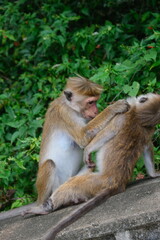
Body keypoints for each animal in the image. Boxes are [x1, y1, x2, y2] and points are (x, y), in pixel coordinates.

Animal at [39, 93, 160, 238]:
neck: (138, 115)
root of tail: (117, 183)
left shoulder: (121, 118)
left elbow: (106, 134)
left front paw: (87, 150)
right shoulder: (148, 129)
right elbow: (147, 146)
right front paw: (154, 174)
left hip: (94, 182)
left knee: (71, 184)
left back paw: (46, 206)